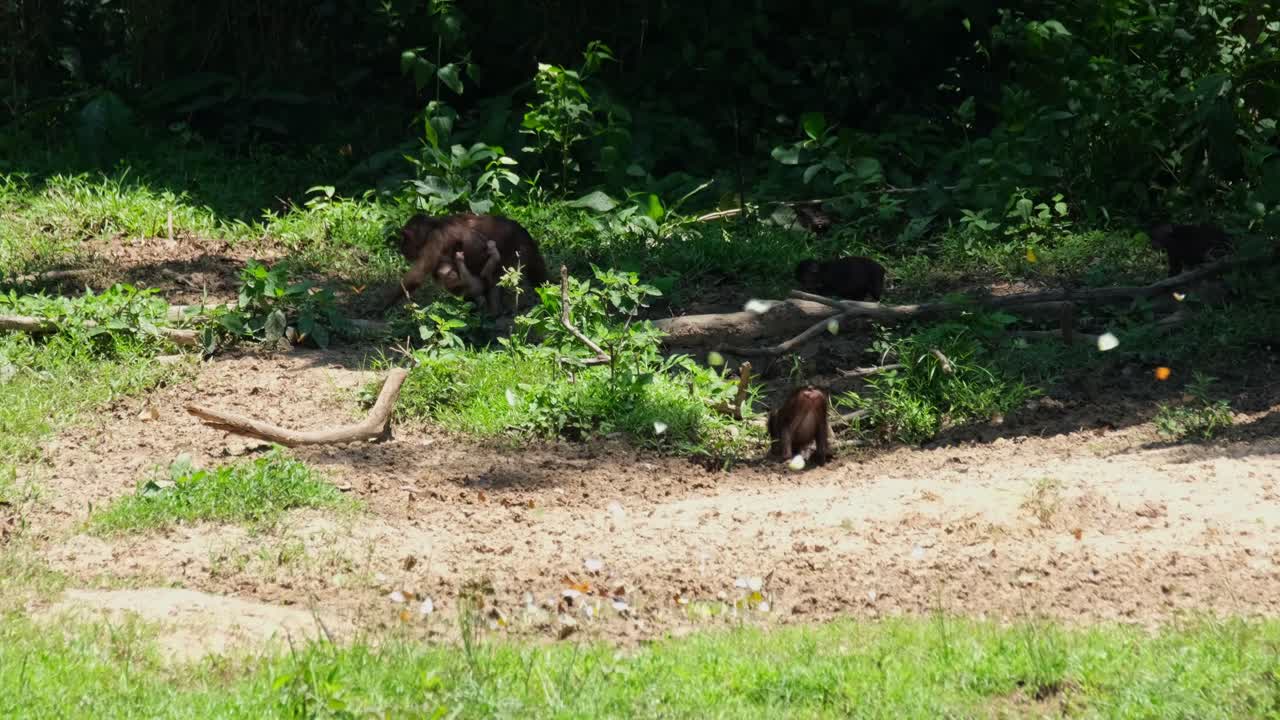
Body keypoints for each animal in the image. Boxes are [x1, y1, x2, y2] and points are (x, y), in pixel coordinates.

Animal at [383, 213, 548, 315]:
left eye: (405, 237)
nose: (401, 245)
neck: (435, 226)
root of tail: (527, 236)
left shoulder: (436, 239)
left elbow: (416, 276)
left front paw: (381, 305)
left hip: (517, 255)